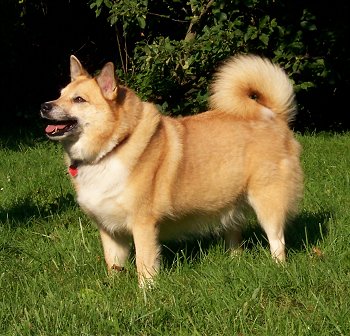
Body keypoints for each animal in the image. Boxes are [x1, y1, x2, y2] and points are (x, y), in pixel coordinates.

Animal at [40, 53, 304, 284]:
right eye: (60, 95)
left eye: (79, 99)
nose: (44, 106)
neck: (112, 147)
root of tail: (271, 114)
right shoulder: (109, 230)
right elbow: (113, 265)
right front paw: (113, 289)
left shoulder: (143, 225)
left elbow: (144, 266)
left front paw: (146, 296)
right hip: (230, 204)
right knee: (234, 238)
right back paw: (234, 262)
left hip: (267, 202)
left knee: (277, 241)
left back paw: (277, 268)